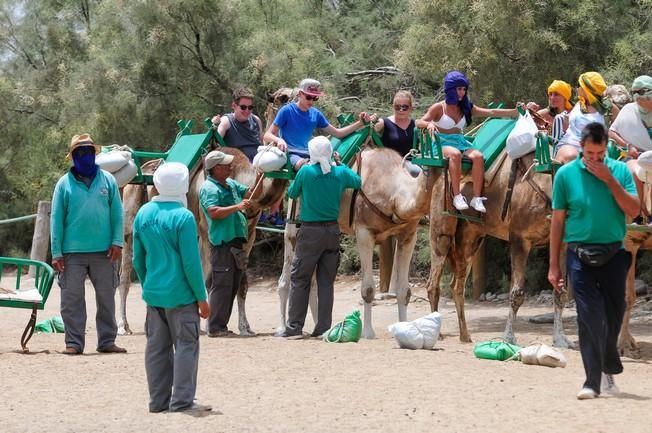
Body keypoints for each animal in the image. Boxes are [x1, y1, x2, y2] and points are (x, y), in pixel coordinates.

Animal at [276, 147, 438, 340]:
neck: (394, 194)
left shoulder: (408, 234)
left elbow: (404, 291)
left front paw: (404, 327)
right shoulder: (364, 232)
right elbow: (368, 289)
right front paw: (367, 332)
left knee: (313, 280)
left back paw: (320, 329)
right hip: (293, 225)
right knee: (286, 278)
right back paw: (283, 328)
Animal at [426, 150, 572, 346]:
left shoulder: (561, 242)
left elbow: (560, 292)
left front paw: (560, 339)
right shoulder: (519, 238)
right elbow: (517, 293)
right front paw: (508, 339)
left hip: (471, 237)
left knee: (457, 286)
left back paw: (465, 336)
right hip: (441, 229)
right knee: (433, 282)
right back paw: (437, 334)